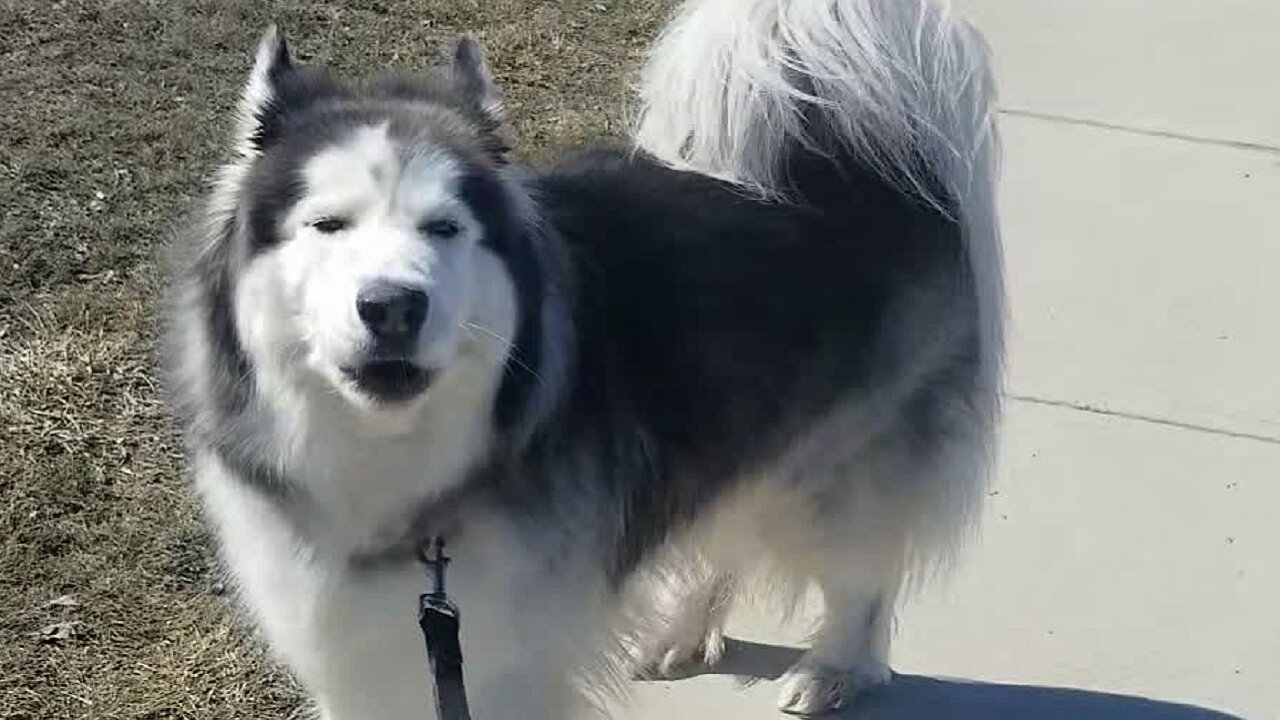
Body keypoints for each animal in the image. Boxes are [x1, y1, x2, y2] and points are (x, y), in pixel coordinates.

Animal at [167, 0, 998, 712]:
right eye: (327, 225)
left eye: (445, 228)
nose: (392, 307)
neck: (395, 471)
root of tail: (853, 161)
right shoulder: (356, 651)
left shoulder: (505, 660)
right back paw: (683, 632)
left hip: (842, 470)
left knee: (864, 569)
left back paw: (838, 667)